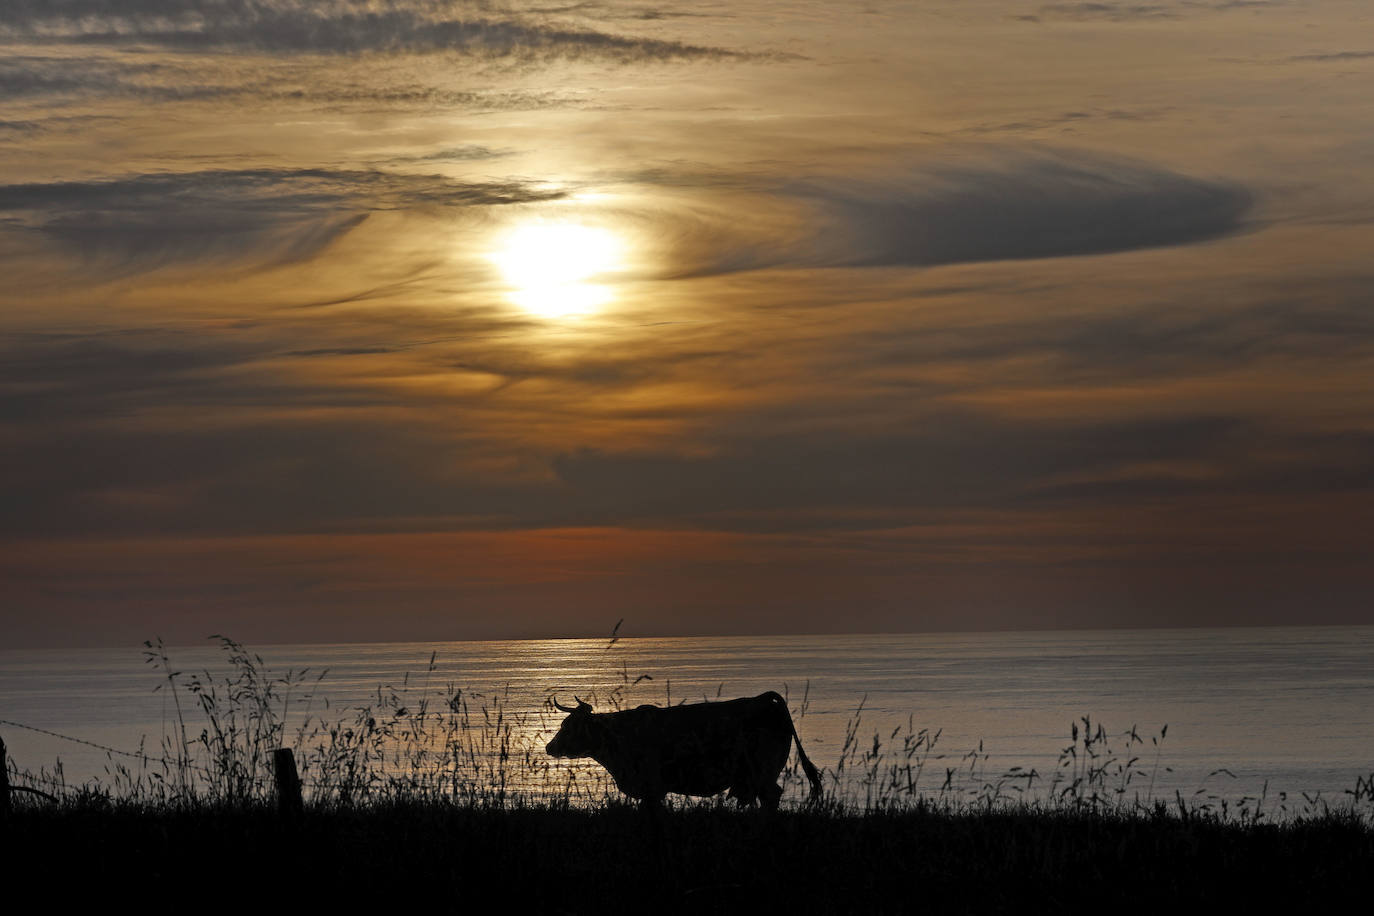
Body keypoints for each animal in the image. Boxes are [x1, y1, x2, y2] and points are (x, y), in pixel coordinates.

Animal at [541, 692, 818, 813]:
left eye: (568, 726)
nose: (549, 747)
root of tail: (764, 699)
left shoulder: (652, 787)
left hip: (762, 770)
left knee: (772, 796)